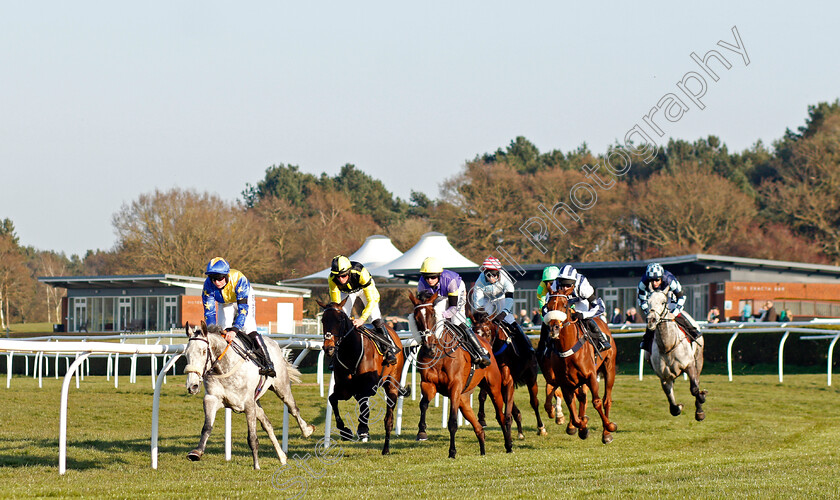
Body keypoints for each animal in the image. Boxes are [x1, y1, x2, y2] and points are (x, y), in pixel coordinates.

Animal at [184, 320, 316, 468]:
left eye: (203, 351)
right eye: (186, 354)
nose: (193, 386)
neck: (224, 369)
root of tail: (274, 343)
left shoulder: (248, 405)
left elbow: (252, 437)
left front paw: (256, 466)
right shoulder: (211, 399)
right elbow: (207, 427)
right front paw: (196, 452)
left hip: (282, 388)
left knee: (293, 409)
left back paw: (307, 430)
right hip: (256, 401)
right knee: (267, 425)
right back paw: (282, 456)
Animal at [316, 298, 408, 456]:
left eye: (340, 320)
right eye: (323, 320)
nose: (329, 348)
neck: (350, 352)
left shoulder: (368, 388)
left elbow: (364, 405)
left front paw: (363, 429)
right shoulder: (345, 390)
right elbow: (333, 399)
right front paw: (345, 431)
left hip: (392, 385)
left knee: (388, 420)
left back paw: (386, 448)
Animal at [406, 292, 512, 458]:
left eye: (432, 315)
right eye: (416, 318)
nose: (429, 347)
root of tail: (486, 343)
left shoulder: (454, 387)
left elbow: (453, 422)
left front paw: (452, 451)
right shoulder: (428, 384)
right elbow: (423, 404)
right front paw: (421, 432)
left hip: (493, 387)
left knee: (500, 416)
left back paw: (508, 445)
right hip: (464, 397)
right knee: (477, 425)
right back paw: (482, 450)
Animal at [540, 294, 616, 444]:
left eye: (565, 305)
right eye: (547, 306)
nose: (554, 329)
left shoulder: (590, 376)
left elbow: (596, 401)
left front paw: (607, 427)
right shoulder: (560, 380)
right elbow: (561, 402)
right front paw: (579, 425)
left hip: (609, 368)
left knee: (606, 399)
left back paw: (606, 433)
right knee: (581, 397)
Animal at [648, 292, 704, 420]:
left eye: (663, 302)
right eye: (648, 302)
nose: (651, 320)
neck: (668, 346)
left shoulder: (689, 365)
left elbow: (694, 389)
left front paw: (701, 399)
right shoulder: (664, 376)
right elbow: (673, 407)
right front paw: (679, 406)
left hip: (698, 359)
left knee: (697, 381)